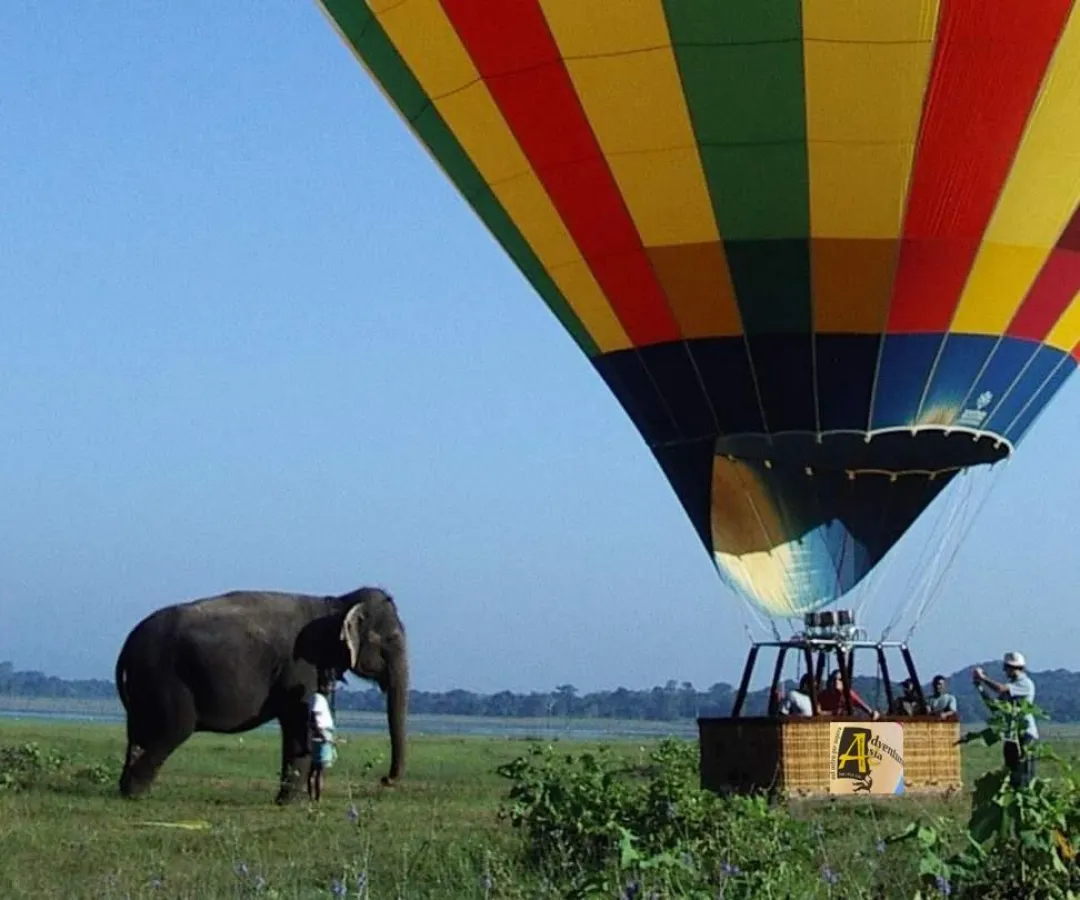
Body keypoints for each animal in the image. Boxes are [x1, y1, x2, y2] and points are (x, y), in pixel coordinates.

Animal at [114, 584, 407, 803]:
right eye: (392, 639)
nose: (386, 779)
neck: (336, 603)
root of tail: (127, 645)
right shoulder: (301, 665)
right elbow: (298, 719)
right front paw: (291, 804)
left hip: (144, 682)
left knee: (139, 732)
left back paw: (128, 789)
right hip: (165, 675)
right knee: (174, 729)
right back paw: (136, 794)